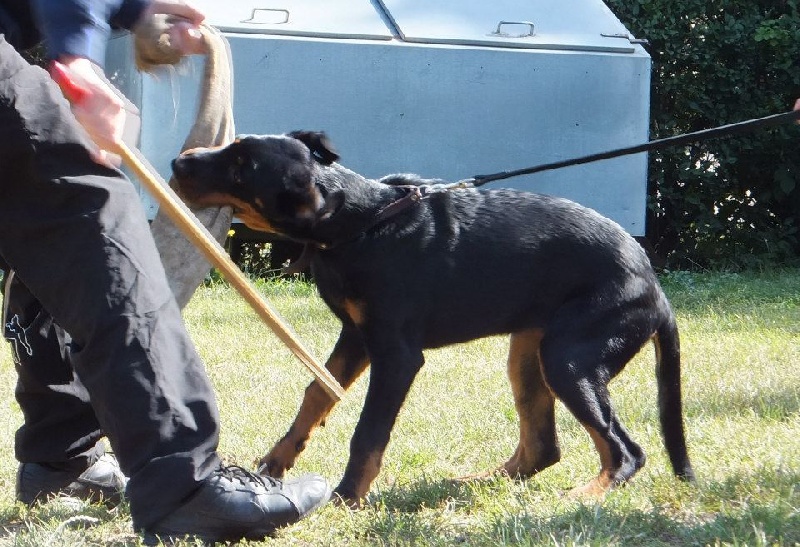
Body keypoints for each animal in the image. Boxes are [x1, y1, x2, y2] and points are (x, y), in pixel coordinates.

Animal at [170, 131, 692, 508]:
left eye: (242, 166)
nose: (178, 161)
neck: (363, 223)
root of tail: (656, 290)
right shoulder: (355, 336)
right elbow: (317, 395)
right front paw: (274, 465)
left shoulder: (396, 354)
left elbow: (368, 433)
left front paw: (345, 498)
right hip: (530, 353)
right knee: (543, 448)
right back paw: (477, 482)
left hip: (569, 357)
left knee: (627, 451)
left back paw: (585, 494)